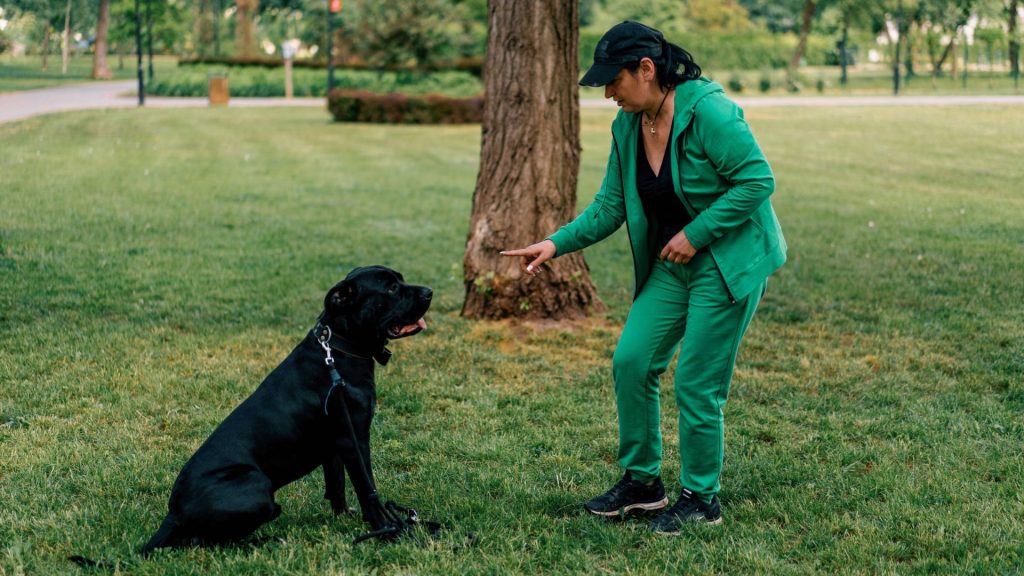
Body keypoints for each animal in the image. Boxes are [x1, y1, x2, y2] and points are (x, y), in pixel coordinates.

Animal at [73, 266, 432, 561]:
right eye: (391, 289)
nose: (429, 291)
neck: (340, 347)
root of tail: (172, 514)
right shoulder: (354, 438)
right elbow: (368, 489)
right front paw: (386, 530)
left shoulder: (335, 446)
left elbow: (337, 486)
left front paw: (344, 519)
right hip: (258, 487)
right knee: (208, 541)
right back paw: (269, 540)